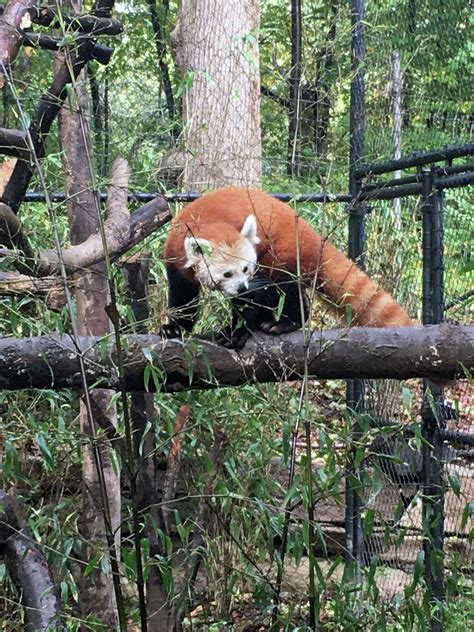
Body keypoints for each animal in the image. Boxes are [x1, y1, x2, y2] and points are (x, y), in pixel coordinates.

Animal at [161, 188, 412, 346]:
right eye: (227, 274)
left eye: (246, 270)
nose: (241, 287)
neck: (211, 221)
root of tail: (313, 235)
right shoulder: (175, 256)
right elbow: (183, 297)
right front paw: (175, 328)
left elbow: (250, 302)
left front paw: (236, 332)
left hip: (281, 253)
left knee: (285, 289)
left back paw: (284, 322)